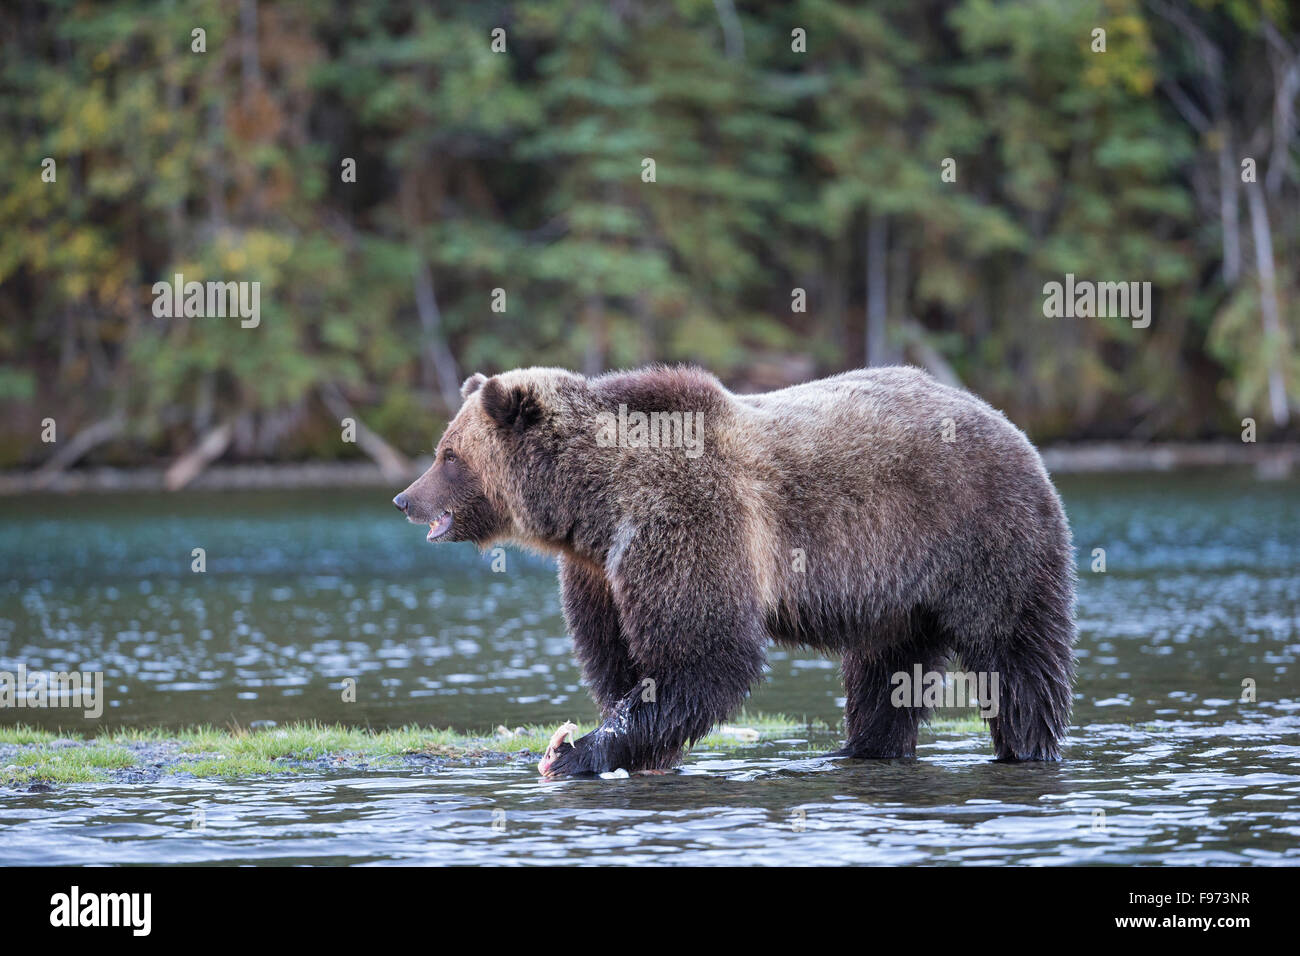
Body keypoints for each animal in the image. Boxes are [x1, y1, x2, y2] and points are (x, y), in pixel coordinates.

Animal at [392, 366, 1076, 780]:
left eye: (448, 456)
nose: (404, 498)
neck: (594, 505)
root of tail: (1006, 421)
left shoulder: (687, 519)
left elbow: (706, 655)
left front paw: (579, 751)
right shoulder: (599, 572)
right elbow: (620, 658)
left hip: (983, 536)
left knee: (1016, 657)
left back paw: (1027, 746)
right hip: (898, 591)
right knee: (886, 673)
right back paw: (860, 747)